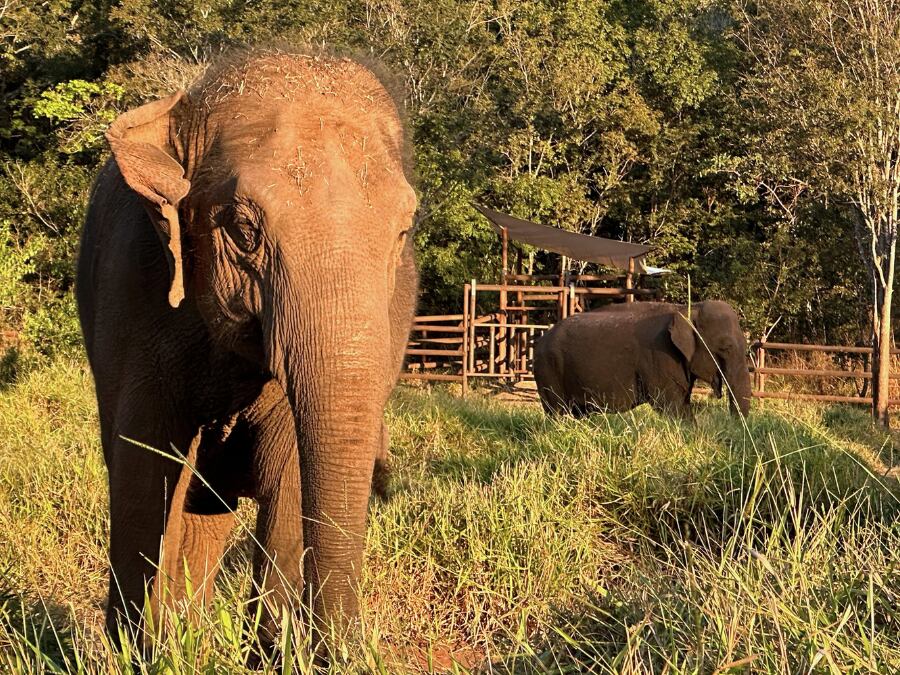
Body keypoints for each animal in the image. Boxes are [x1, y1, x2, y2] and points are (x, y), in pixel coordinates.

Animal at [74, 48, 418, 644]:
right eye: (242, 229)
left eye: (402, 233)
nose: (341, 650)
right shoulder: (133, 292)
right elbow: (145, 476)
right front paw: (142, 650)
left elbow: (289, 482)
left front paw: (273, 648)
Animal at [536, 300, 752, 418]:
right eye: (725, 348)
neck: (687, 308)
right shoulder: (659, 356)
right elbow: (671, 407)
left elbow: (682, 403)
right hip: (548, 370)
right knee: (558, 412)